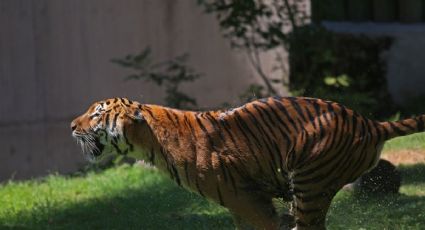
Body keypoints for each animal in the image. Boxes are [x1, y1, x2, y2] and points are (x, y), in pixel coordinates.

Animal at [71, 96, 422, 229]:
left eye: (96, 114)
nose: (71, 125)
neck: (150, 142)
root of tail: (370, 123)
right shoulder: (240, 206)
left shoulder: (248, 200)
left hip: (311, 184)